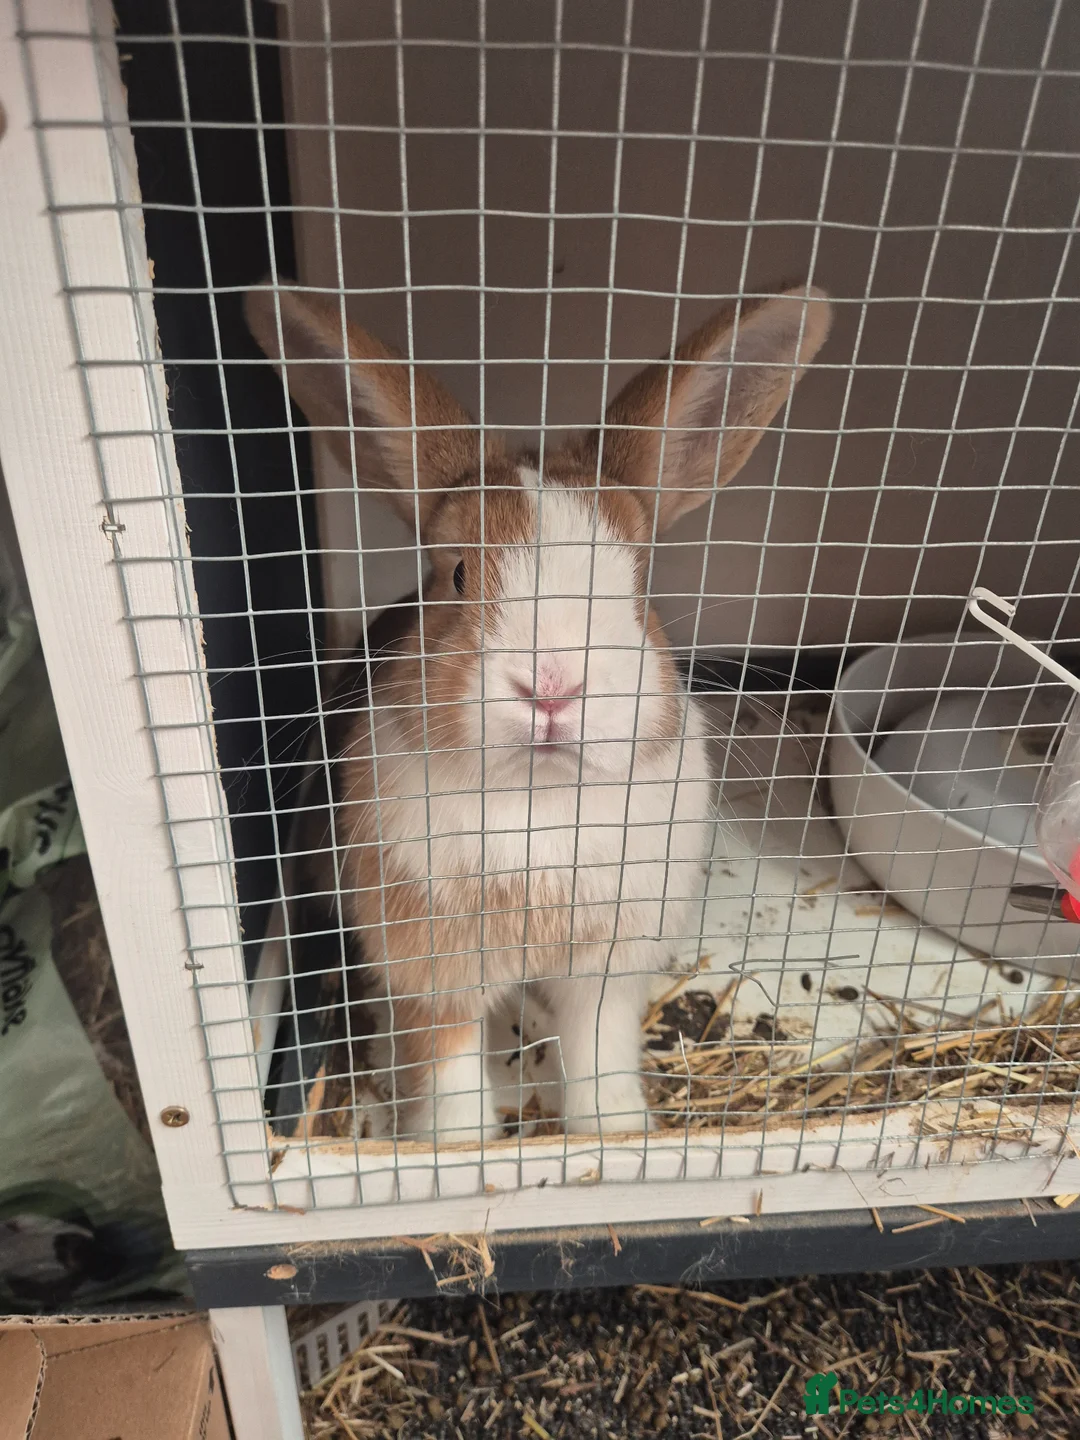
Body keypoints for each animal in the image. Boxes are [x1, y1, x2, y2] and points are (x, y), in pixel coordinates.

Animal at [245, 279, 832, 1143]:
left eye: (636, 577)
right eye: (456, 573)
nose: (554, 684)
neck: (541, 802)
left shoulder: (606, 970)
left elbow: (598, 1055)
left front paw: (614, 1137)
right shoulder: (433, 971)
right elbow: (450, 1075)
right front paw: (459, 1150)